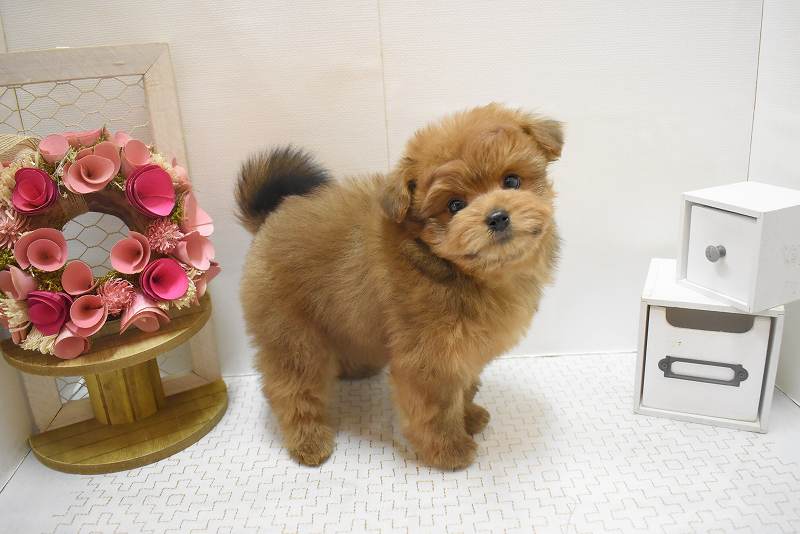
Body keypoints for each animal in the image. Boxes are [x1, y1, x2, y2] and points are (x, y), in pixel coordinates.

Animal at [236, 103, 562, 469]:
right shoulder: (431, 361)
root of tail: (272, 216)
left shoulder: (464, 352)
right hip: (293, 337)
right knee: (292, 390)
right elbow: (437, 411)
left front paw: (469, 416)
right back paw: (309, 441)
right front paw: (449, 449)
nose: (497, 216)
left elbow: (465, 388)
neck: (449, 266)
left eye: (512, 181)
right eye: (455, 205)